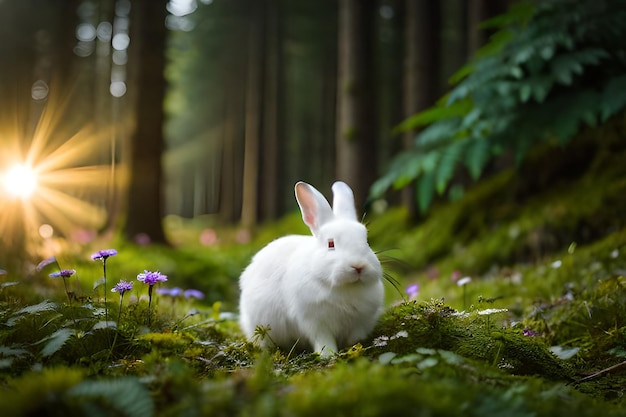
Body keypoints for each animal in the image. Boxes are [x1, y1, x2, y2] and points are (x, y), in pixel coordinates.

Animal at [239, 180, 382, 356]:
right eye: (331, 244)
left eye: (366, 240)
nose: (358, 266)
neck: (346, 287)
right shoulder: (314, 321)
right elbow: (324, 340)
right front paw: (328, 355)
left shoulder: (361, 321)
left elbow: (355, 337)